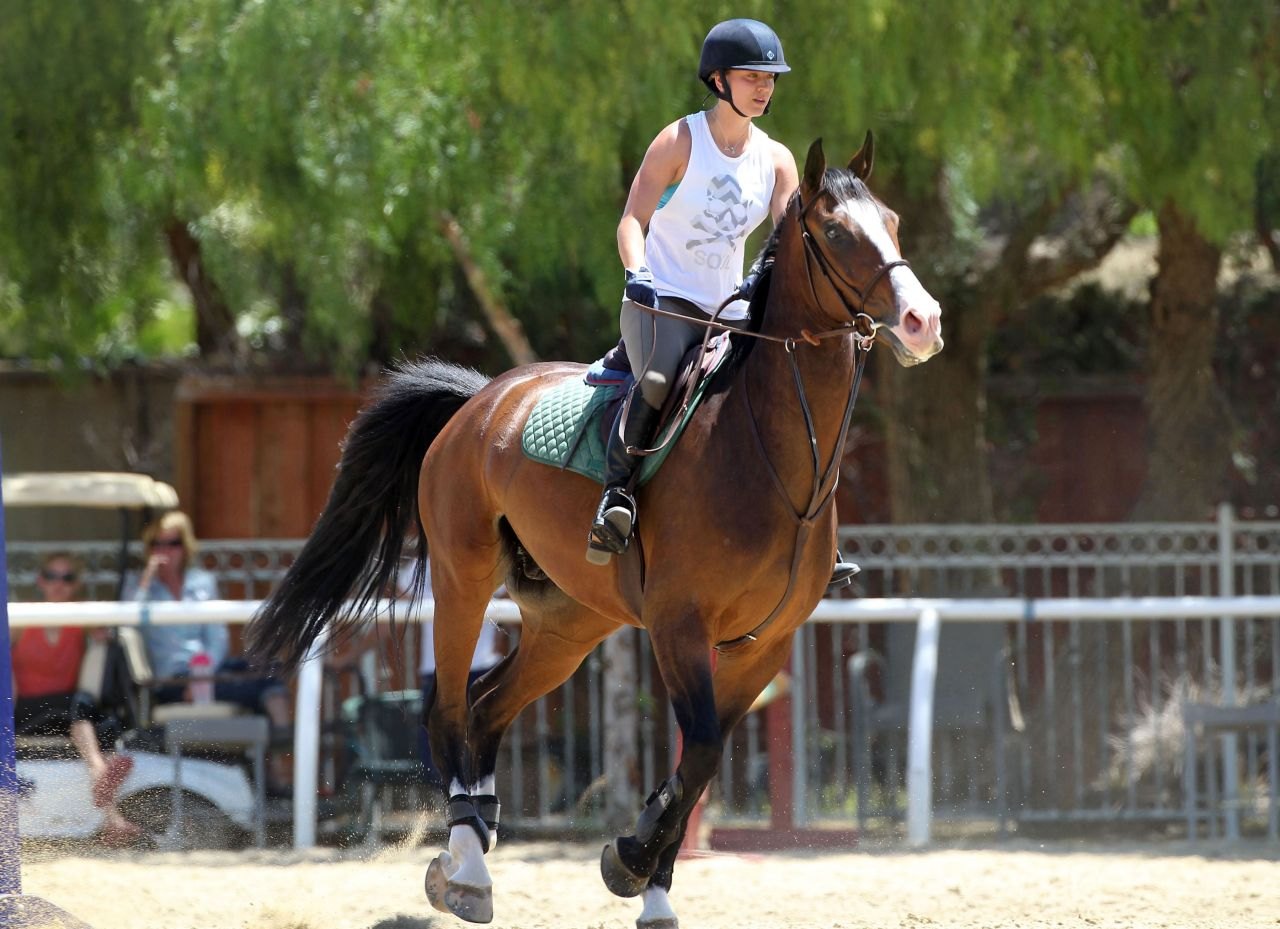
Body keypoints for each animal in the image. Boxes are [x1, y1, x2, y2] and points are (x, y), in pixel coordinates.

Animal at [247, 132, 942, 927]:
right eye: (835, 232)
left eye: (893, 222)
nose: (924, 322)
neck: (767, 452)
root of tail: (479, 401)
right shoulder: (679, 623)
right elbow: (702, 750)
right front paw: (631, 857)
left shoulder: (762, 646)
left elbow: (700, 761)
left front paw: (650, 881)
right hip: (463, 583)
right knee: (448, 712)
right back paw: (465, 869)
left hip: (569, 623)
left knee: (487, 709)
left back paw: (478, 840)